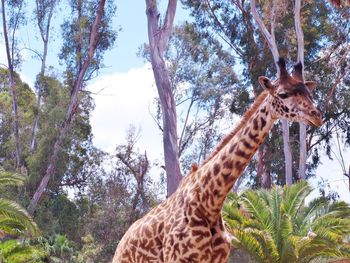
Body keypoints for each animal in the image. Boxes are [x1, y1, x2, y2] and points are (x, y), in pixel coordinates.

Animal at [112, 58, 322, 263]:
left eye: (309, 93)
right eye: (283, 94)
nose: (317, 116)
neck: (209, 202)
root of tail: (121, 243)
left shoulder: (218, 258)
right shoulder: (176, 257)